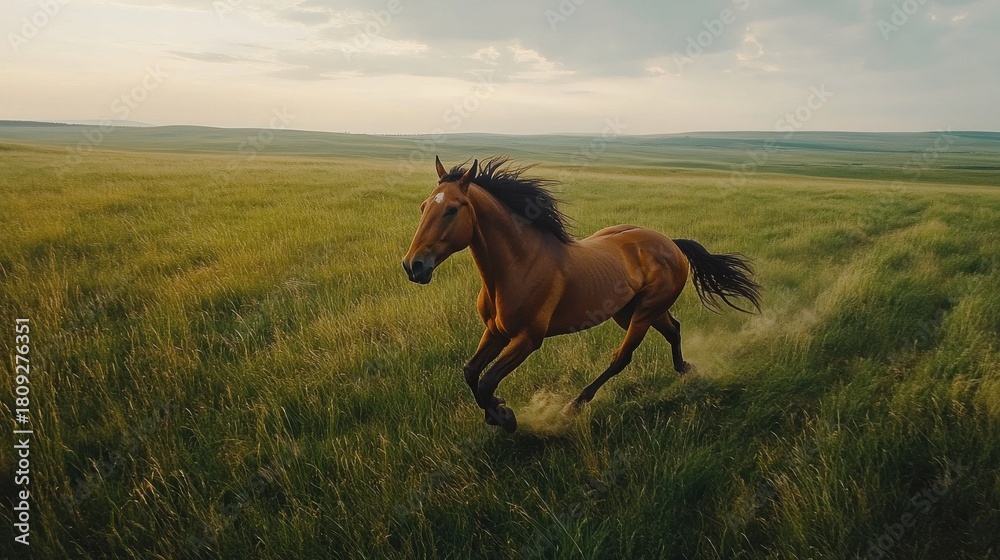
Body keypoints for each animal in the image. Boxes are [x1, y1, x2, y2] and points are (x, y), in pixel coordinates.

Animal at [402, 156, 761, 432]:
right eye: (422, 207)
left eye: (451, 209)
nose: (413, 266)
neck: (518, 265)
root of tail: (671, 244)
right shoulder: (495, 331)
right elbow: (471, 372)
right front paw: (496, 411)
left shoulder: (527, 339)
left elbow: (488, 380)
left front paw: (504, 416)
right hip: (633, 310)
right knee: (674, 329)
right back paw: (686, 369)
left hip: (644, 313)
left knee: (622, 357)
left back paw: (574, 405)